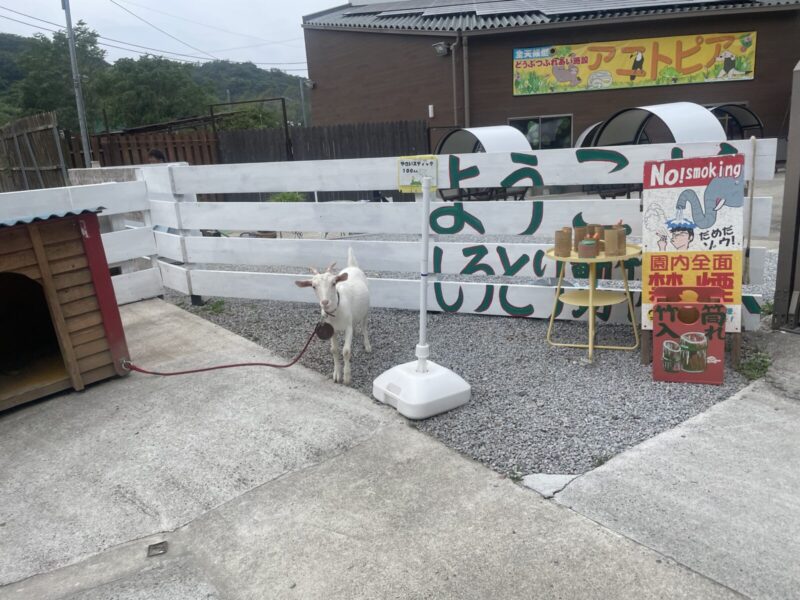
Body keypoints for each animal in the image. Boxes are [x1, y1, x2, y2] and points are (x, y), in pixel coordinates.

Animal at [296, 247, 370, 384]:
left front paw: (347, 377)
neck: (337, 310)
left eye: (334, 283)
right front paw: (336, 374)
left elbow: (346, 351)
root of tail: (352, 266)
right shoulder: (332, 330)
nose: (325, 302)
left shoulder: (347, 327)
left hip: (366, 310)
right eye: (313, 286)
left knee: (364, 326)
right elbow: (334, 350)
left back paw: (367, 345)